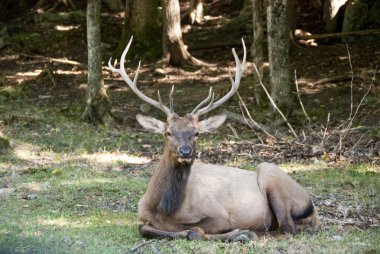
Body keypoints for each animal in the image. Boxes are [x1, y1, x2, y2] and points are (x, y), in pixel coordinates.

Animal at [108, 36, 316, 241]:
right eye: (168, 132)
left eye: (196, 133)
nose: (185, 151)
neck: (164, 210)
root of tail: (313, 210)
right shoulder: (143, 214)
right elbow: (144, 228)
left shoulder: (220, 215)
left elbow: (196, 230)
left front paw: (236, 233)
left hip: (270, 173)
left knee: (287, 228)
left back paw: (247, 233)